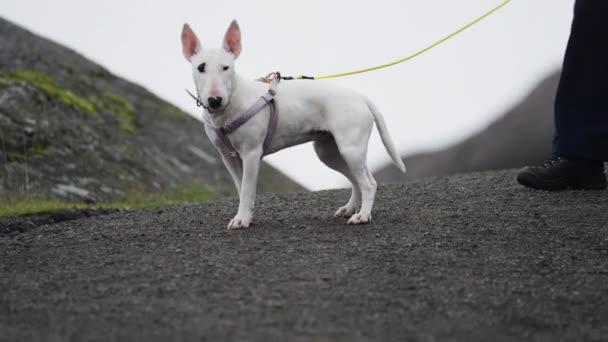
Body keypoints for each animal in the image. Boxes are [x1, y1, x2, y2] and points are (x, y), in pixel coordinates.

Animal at [183, 19, 406, 230]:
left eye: (226, 67)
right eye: (201, 68)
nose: (214, 100)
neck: (232, 102)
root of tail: (361, 98)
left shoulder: (251, 154)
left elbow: (247, 189)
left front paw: (242, 220)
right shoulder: (228, 157)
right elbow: (242, 188)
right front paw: (246, 215)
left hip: (351, 149)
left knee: (368, 183)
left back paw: (362, 216)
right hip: (329, 152)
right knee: (355, 180)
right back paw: (349, 209)